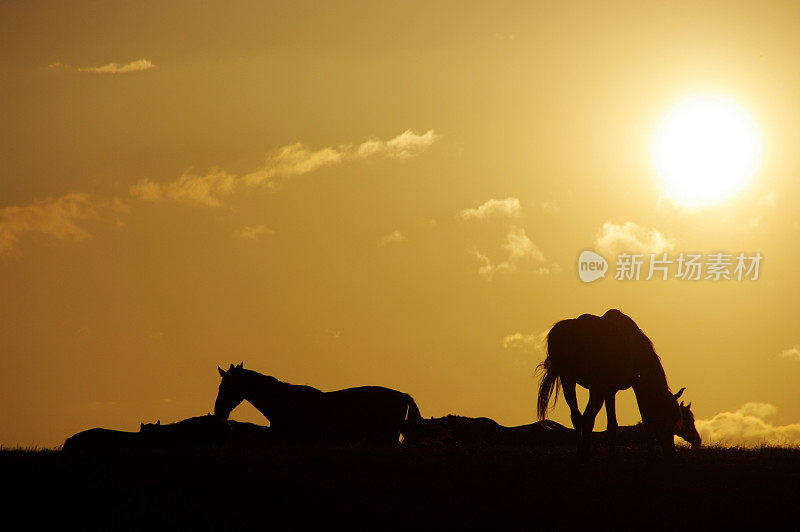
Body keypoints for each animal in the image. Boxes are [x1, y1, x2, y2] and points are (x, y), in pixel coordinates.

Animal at [536, 310, 700, 460]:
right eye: (668, 416)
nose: (671, 453)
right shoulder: (632, 386)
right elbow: (644, 419)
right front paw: (650, 456)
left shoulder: (611, 390)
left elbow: (612, 425)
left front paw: (612, 455)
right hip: (595, 388)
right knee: (587, 418)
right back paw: (585, 455)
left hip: (568, 380)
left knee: (577, 417)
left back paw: (581, 453)